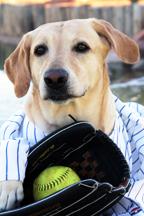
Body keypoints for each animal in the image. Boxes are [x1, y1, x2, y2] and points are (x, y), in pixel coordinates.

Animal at [0, 18, 140, 211]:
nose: (54, 78)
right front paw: (8, 187)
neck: (68, 116)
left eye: (82, 47)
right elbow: (12, 141)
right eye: (39, 50)